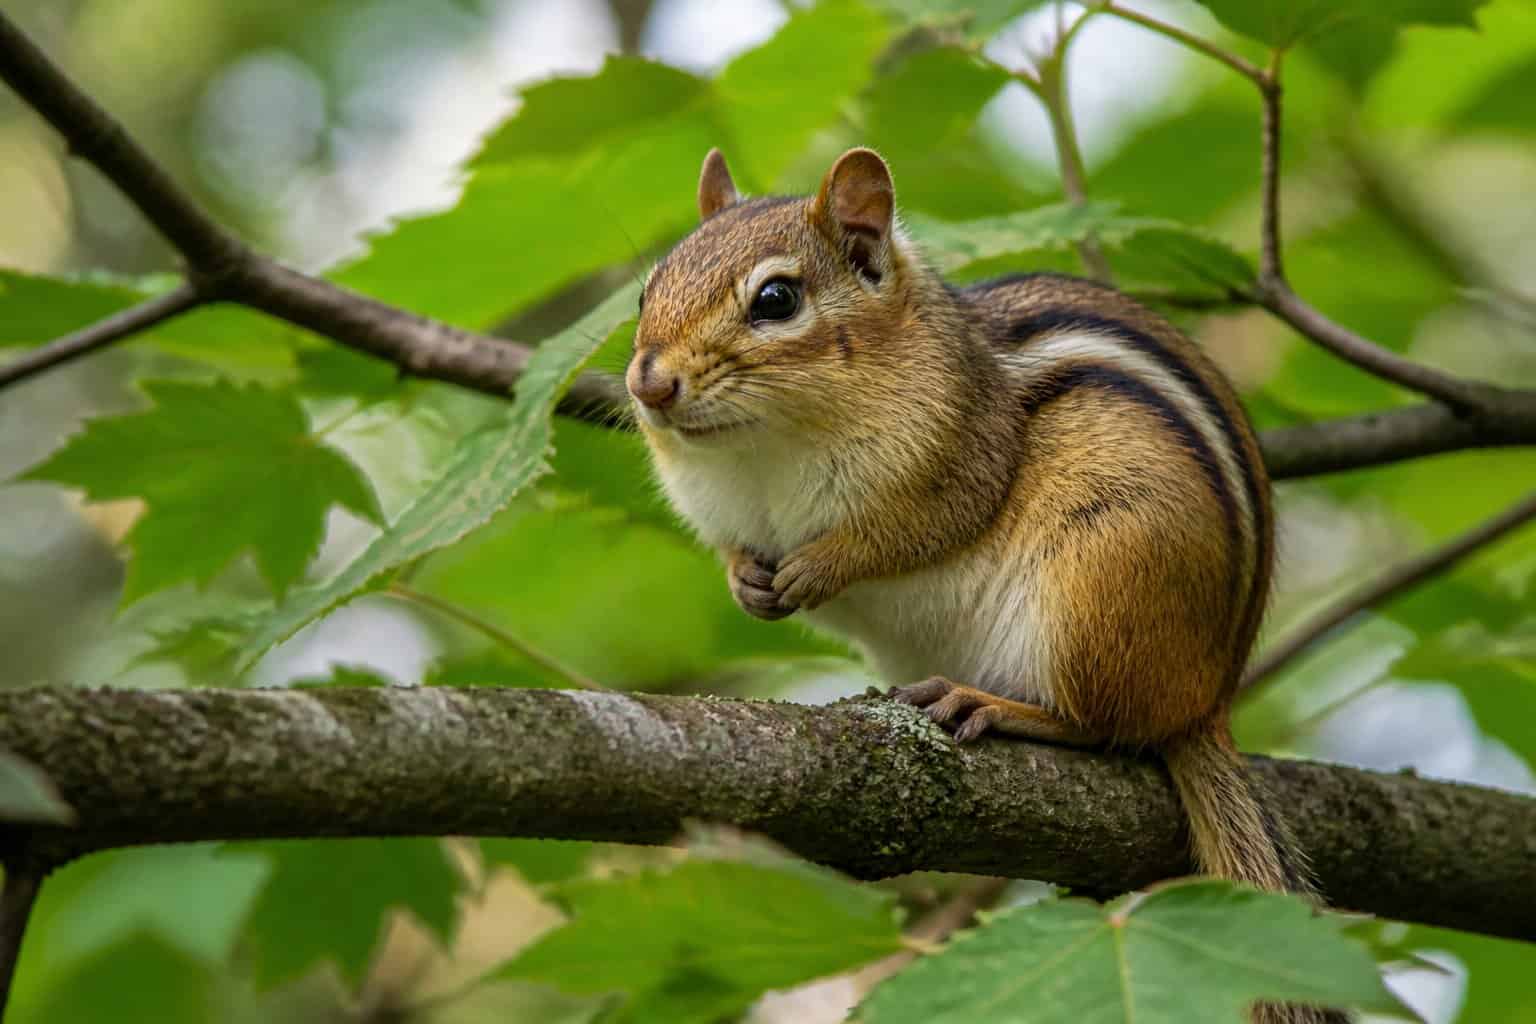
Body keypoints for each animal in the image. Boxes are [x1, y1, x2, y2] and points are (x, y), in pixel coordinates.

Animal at [628, 147, 1341, 1024]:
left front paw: (819, 566)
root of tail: (1208, 700)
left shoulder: (961, 456)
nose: (648, 385)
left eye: (776, 300)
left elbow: (908, 533)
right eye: (645, 293)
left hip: (1094, 590)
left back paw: (994, 705)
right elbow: (736, 550)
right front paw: (746, 581)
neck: (762, 447)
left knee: (1105, 727)